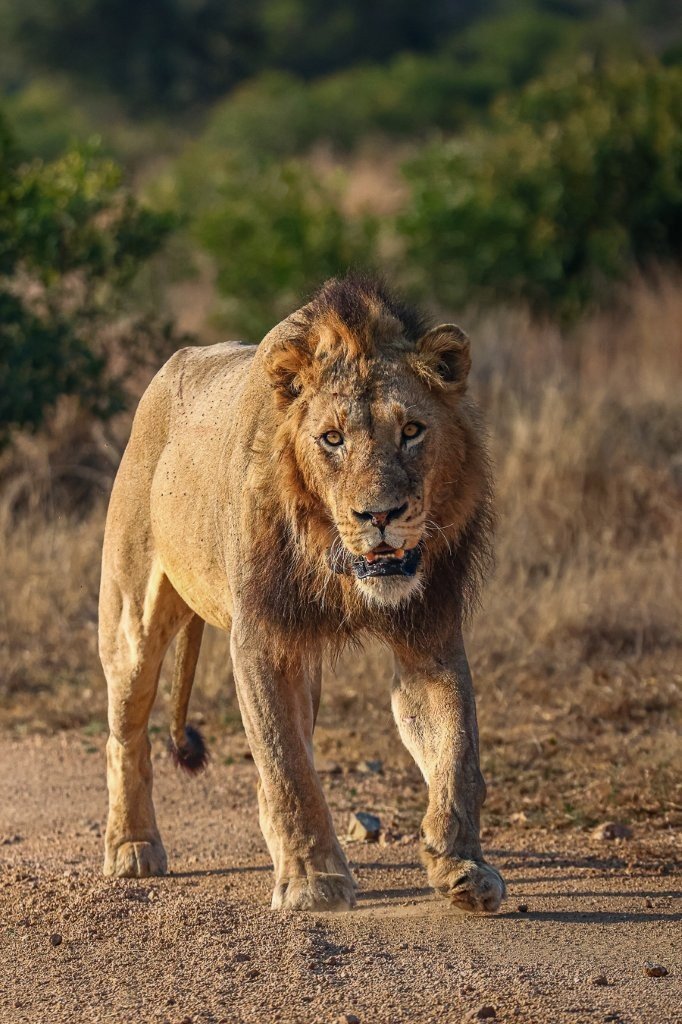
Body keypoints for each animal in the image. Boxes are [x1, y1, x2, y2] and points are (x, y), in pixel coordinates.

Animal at [100, 273, 505, 913]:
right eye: (331, 439)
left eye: (412, 431)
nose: (380, 515)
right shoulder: (261, 638)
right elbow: (286, 764)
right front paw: (314, 880)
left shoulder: (429, 635)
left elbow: (456, 752)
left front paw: (462, 866)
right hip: (131, 616)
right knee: (126, 733)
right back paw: (132, 847)